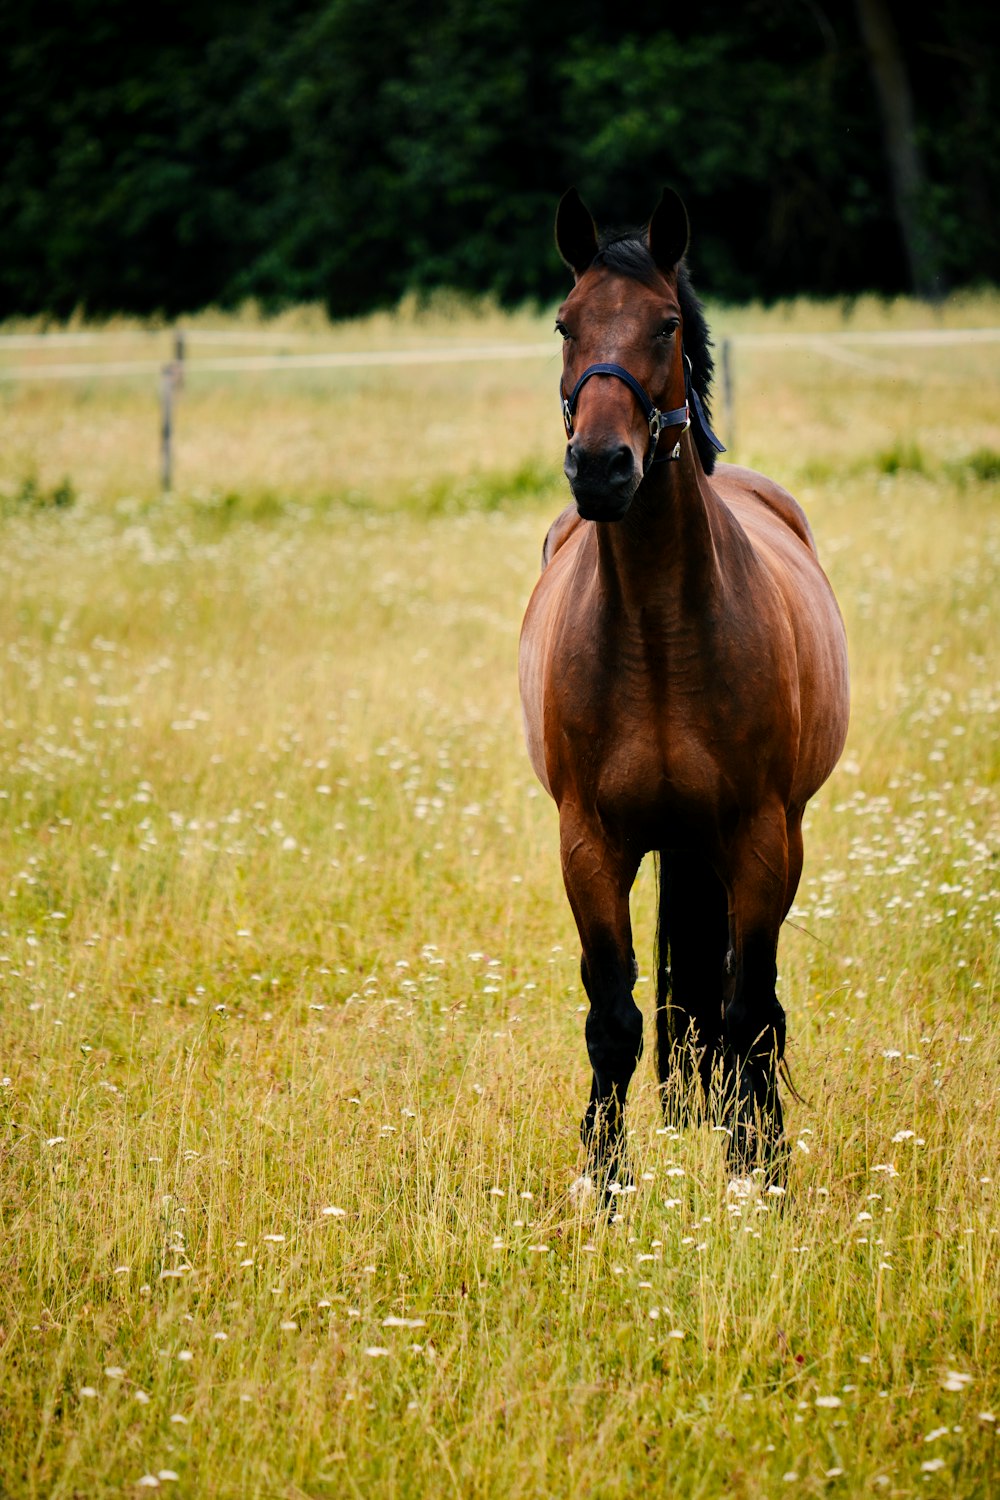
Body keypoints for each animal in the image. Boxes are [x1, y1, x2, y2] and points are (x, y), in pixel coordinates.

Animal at [521, 190, 851, 1182]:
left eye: (664, 323)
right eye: (565, 322)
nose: (601, 468)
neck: (658, 636)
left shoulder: (760, 842)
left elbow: (750, 1014)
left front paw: (759, 1173)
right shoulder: (589, 848)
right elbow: (613, 1020)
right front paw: (606, 1186)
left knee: (753, 1008)